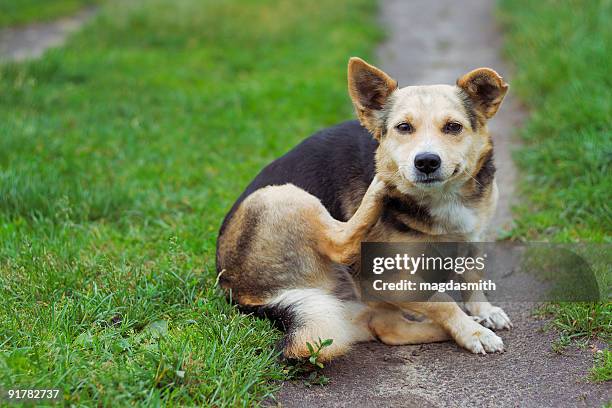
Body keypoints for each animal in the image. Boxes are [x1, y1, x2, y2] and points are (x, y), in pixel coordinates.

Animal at [215, 57, 512, 360]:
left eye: (453, 127)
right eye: (403, 127)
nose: (426, 162)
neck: (443, 197)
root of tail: (240, 293)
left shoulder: (474, 238)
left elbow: (472, 278)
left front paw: (482, 311)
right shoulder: (387, 277)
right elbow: (442, 300)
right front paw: (473, 332)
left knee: (388, 329)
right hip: (284, 195)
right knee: (341, 245)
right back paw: (380, 185)